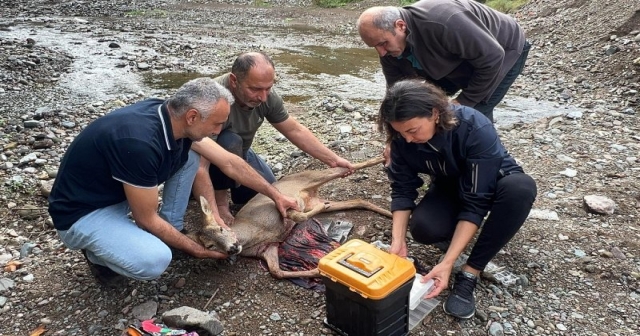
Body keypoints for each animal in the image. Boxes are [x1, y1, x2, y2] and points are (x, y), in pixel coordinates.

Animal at [188, 158, 392, 278]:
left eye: (222, 228)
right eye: (210, 246)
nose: (232, 248)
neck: (250, 234)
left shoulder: (277, 208)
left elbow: (297, 216)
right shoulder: (268, 248)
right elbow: (276, 271)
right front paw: (319, 270)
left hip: (311, 176)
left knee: (346, 166)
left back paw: (383, 156)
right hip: (319, 196)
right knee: (357, 200)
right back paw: (387, 212)